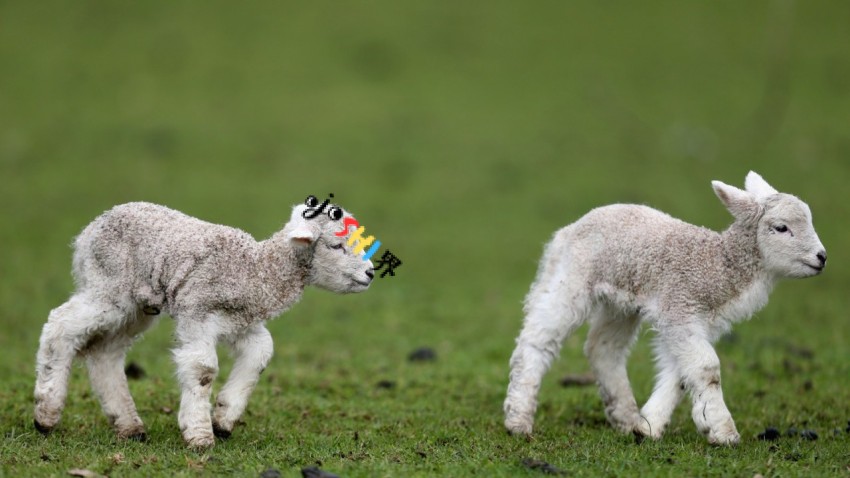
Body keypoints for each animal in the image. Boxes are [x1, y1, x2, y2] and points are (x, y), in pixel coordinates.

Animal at [34, 202, 372, 448]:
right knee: (60, 325)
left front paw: (223, 418)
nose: (370, 273)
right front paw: (200, 435)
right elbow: (203, 370)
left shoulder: (240, 323)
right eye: (336, 246)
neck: (256, 270)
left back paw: (129, 426)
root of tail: (88, 232)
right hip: (109, 287)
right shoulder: (196, 312)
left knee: (106, 352)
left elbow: (261, 354)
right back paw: (46, 415)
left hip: (137, 307)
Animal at [504, 172, 820, 444]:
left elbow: (681, 374)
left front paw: (648, 426)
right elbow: (707, 367)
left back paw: (625, 417)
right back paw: (518, 420)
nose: (822, 257)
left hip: (620, 303)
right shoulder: (679, 308)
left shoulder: (695, 322)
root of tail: (571, 227)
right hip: (570, 279)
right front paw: (723, 431)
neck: (717, 265)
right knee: (537, 339)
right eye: (781, 227)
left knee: (602, 348)